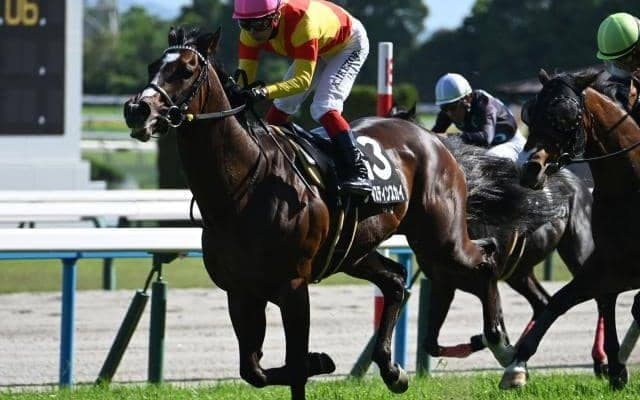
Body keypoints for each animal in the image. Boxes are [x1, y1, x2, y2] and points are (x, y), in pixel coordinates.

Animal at [123, 27, 509, 400]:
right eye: (152, 66)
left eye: (186, 70)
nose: (136, 109)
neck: (242, 191)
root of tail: (431, 137)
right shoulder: (240, 291)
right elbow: (253, 370)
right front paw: (320, 360)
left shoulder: (293, 286)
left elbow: (293, 367)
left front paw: (314, 361)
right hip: (355, 250)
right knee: (397, 279)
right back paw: (392, 369)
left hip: (441, 238)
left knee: (485, 259)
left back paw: (498, 342)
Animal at [388, 107, 602, 373]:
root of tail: (579, 183)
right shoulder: (443, 283)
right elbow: (431, 343)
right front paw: (492, 346)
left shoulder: (487, 279)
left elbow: (493, 329)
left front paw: (498, 348)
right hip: (519, 273)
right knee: (542, 301)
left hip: (578, 249)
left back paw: (601, 361)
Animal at [501, 69, 640, 390]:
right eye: (530, 113)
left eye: (564, 116)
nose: (529, 168)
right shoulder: (608, 262)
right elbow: (562, 301)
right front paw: (516, 366)